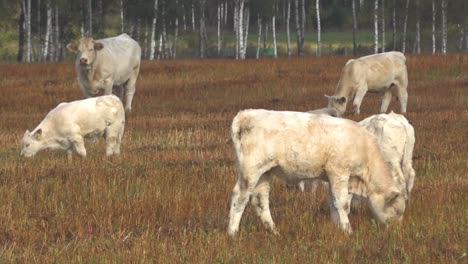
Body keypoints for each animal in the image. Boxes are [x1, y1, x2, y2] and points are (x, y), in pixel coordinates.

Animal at [228, 109, 406, 235]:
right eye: (397, 210)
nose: (397, 230)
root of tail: (246, 114)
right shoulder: (339, 173)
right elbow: (342, 203)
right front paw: (347, 229)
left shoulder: (332, 178)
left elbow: (334, 203)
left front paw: (337, 226)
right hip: (250, 172)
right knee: (240, 197)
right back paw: (232, 232)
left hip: (264, 173)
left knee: (260, 201)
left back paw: (273, 231)